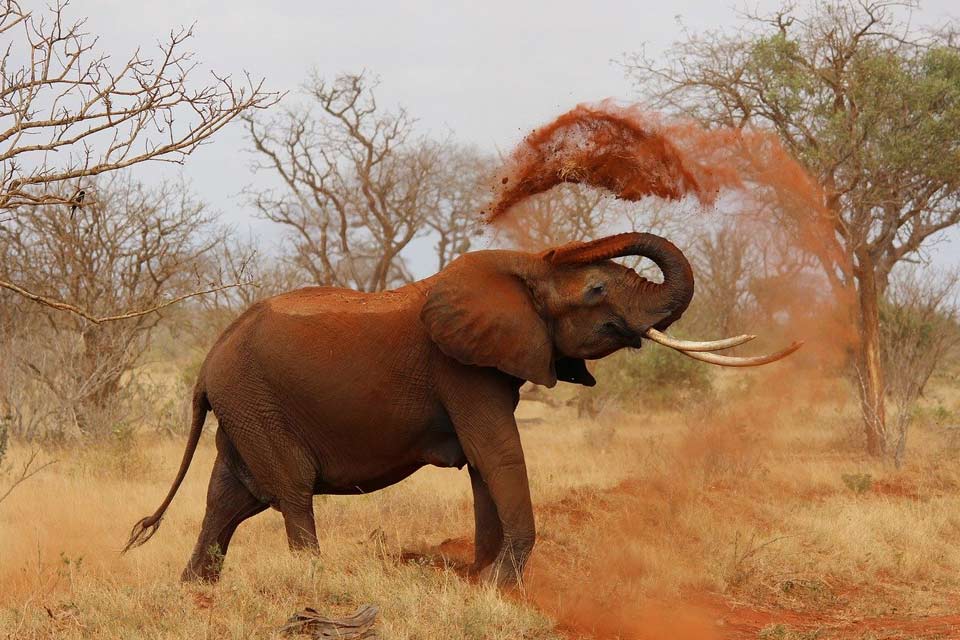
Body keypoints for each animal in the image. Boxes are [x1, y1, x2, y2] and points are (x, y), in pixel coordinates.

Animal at [124, 232, 800, 588]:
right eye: (597, 289)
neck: (523, 269)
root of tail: (209, 359)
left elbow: (484, 464)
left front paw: (480, 580)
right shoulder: (461, 369)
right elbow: (497, 452)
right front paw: (502, 586)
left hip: (243, 407)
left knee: (229, 498)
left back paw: (195, 593)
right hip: (256, 402)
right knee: (288, 491)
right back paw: (315, 583)